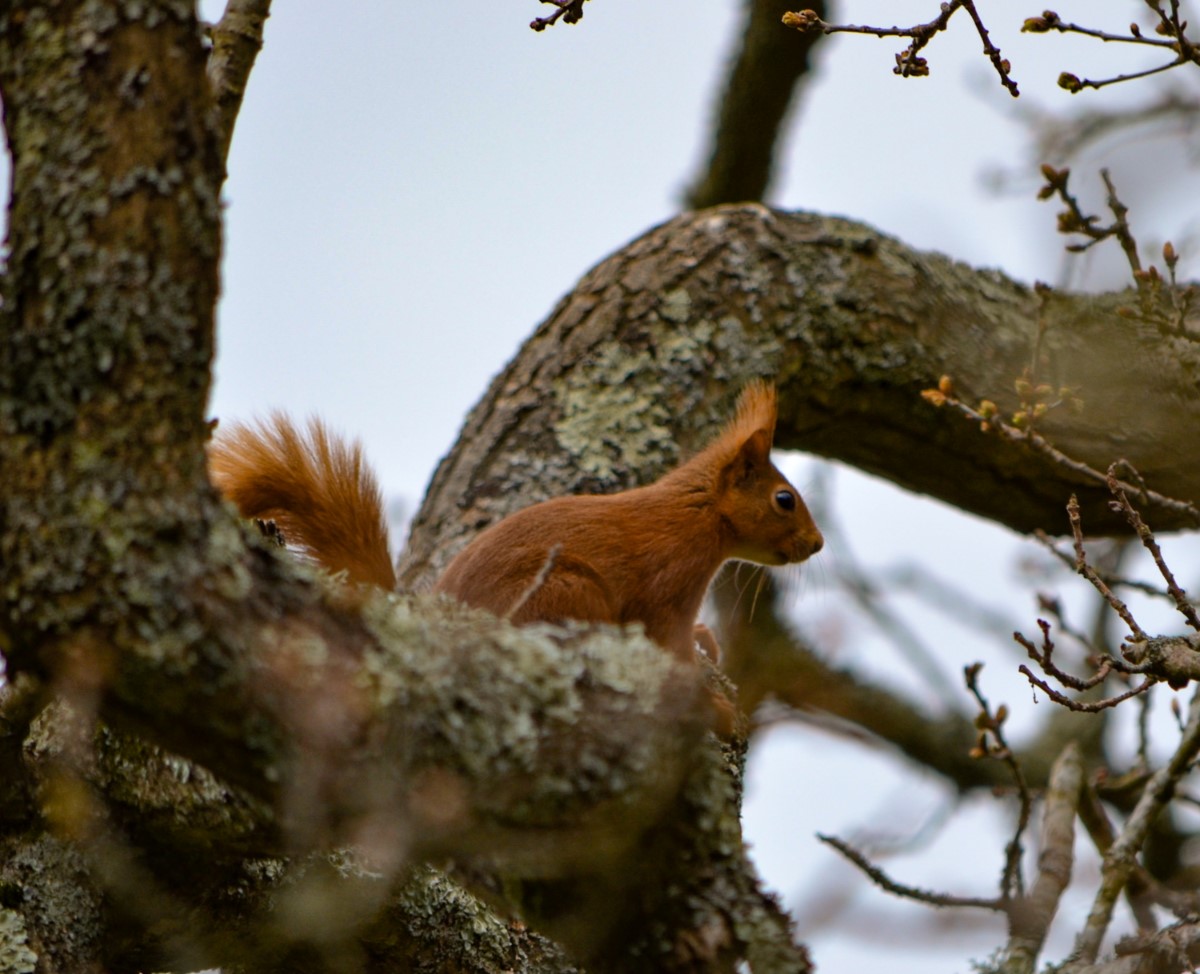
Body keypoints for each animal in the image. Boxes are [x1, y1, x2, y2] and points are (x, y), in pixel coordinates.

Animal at [208, 382, 823, 676]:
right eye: (784, 499)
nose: (818, 545)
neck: (696, 513)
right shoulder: (670, 580)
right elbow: (668, 643)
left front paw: (705, 640)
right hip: (568, 591)